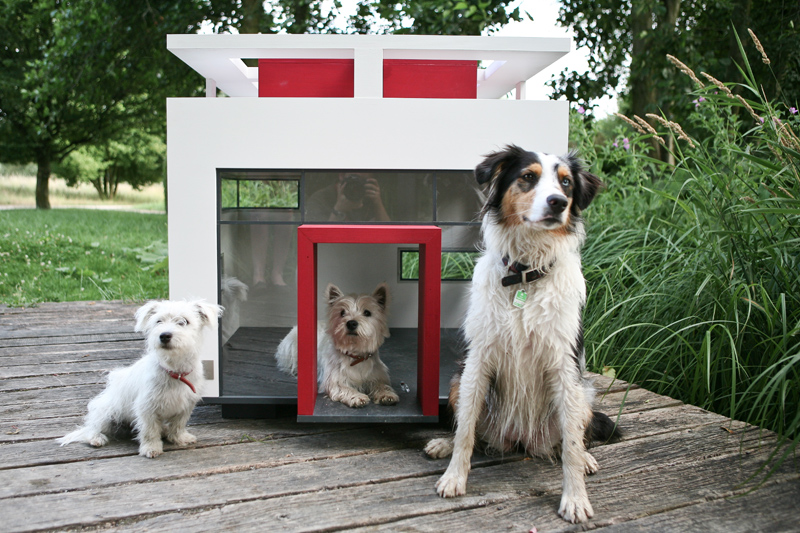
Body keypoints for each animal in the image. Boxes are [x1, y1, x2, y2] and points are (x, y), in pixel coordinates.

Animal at [57, 300, 222, 458]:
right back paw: (96, 438)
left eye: (184, 321)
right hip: (107, 411)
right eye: (158, 321)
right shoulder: (147, 407)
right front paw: (151, 448)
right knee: (92, 427)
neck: (175, 371)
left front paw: (179, 438)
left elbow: (178, 425)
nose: (164, 335)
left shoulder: (186, 405)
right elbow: (150, 431)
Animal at [424, 144, 620, 520]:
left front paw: (575, 498)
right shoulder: (478, 359)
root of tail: (520, 438)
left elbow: (571, 446)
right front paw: (454, 477)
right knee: (471, 428)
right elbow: (466, 429)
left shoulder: (565, 365)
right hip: (457, 381)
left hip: (583, 393)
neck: (525, 274)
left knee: (572, 438)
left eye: (566, 183)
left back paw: (587, 459)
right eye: (528, 177)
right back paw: (443, 443)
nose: (558, 202)